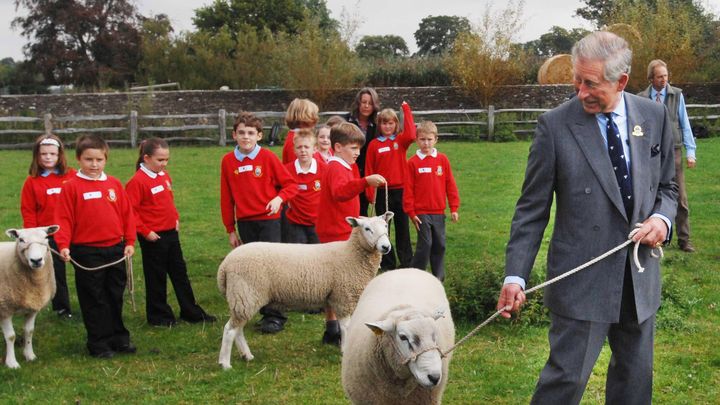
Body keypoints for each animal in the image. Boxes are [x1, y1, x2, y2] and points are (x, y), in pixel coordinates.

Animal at [0, 226, 57, 368]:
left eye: (46, 237)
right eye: (21, 239)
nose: (36, 260)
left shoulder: (33, 306)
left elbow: (29, 331)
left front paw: (29, 355)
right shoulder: (5, 308)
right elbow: (10, 336)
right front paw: (12, 363)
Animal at [217, 213, 394, 368]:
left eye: (386, 226)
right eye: (367, 228)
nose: (386, 247)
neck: (351, 254)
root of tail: (225, 265)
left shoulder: (336, 297)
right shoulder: (343, 297)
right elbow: (346, 327)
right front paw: (344, 350)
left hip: (242, 297)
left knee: (238, 329)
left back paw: (247, 355)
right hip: (246, 294)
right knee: (230, 330)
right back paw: (225, 363)